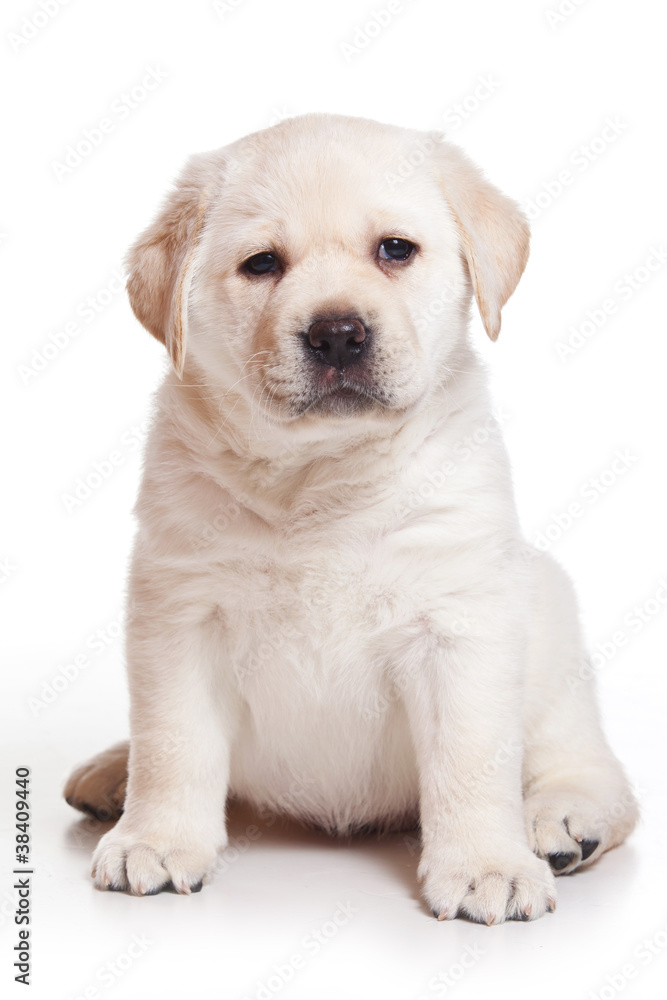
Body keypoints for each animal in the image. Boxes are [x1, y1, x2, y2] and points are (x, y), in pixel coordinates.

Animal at [65, 113, 640, 924]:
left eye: (394, 250)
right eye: (262, 264)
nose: (337, 332)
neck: (321, 475)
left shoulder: (459, 621)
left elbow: (471, 757)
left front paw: (485, 865)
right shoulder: (179, 612)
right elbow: (174, 741)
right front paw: (157, 837)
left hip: (552, 629)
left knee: (588, 765)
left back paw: (561, 819)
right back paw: (113, 774)